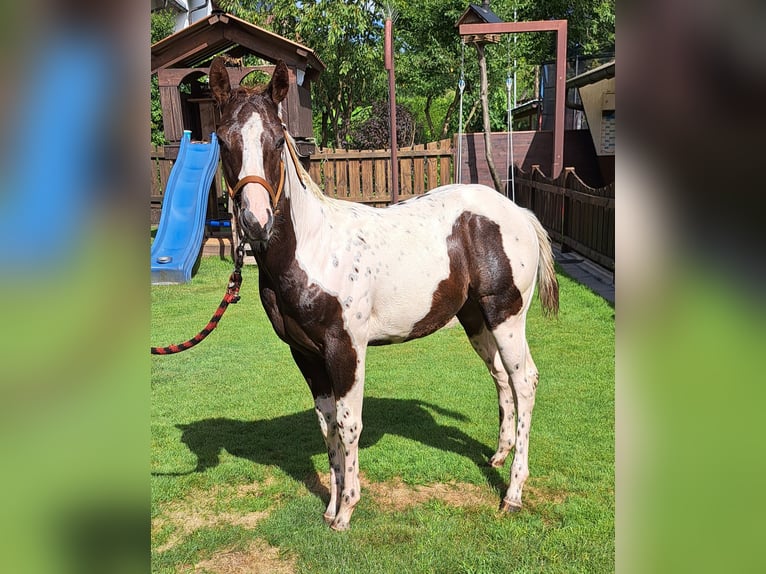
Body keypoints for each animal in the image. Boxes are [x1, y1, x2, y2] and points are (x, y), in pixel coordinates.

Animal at [208, 56, 560, 532]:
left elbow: (348, 423)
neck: (314, 248)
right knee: (501, 378)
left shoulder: (346, 348)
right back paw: (498, 457)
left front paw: (347, 509)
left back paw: (514, 492)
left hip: (507, 315)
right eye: (223, 139)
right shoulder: (305, 353)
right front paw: (331, 504)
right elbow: (327, 425)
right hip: (475, 319)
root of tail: (518, 211)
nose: (255, 222)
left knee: (524, 382)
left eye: (277, 141)